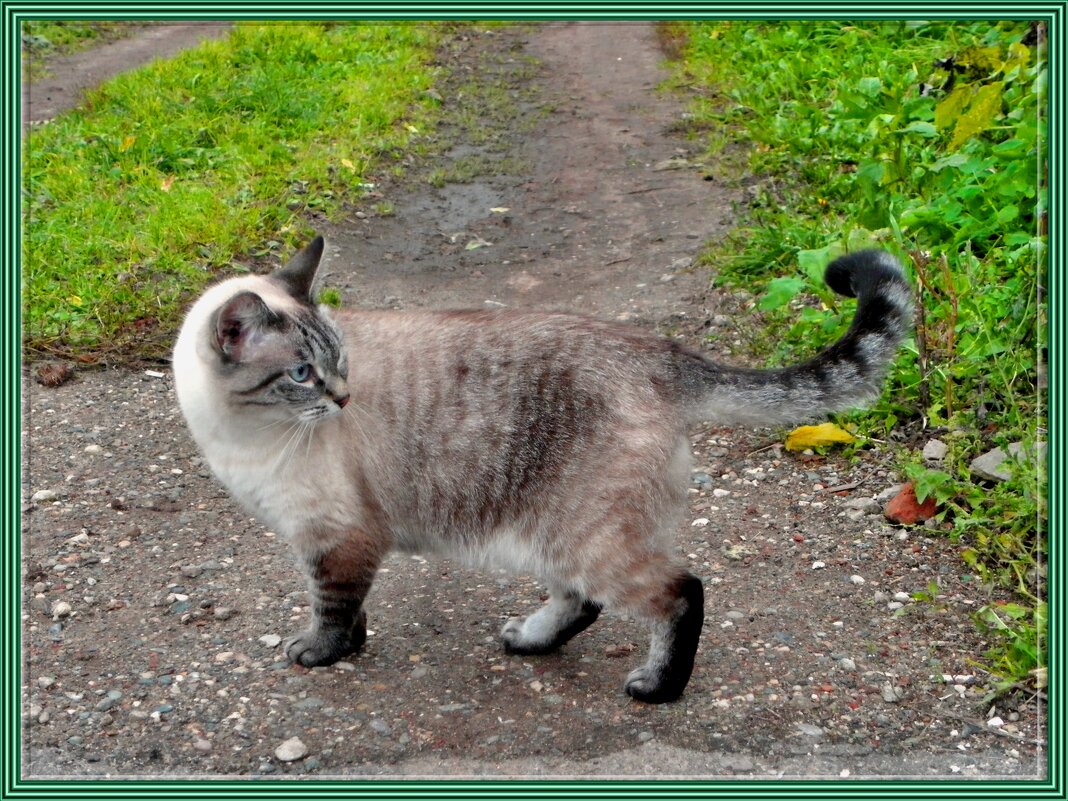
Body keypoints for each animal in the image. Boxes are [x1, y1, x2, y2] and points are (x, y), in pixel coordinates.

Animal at [173, 234, 909, 704]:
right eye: (303, 373)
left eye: (337, 363)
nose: (343, 398)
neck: (237, 432)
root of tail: (661, 351)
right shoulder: (328, 540)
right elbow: (348, 609)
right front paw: (348, 647)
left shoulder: (337, 537)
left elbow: (332, 606)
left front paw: (320, 653)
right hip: (555, 531)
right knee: (583, 598)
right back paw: (531, 640)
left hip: (580, 531)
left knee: (680, 590)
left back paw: (656, 687)